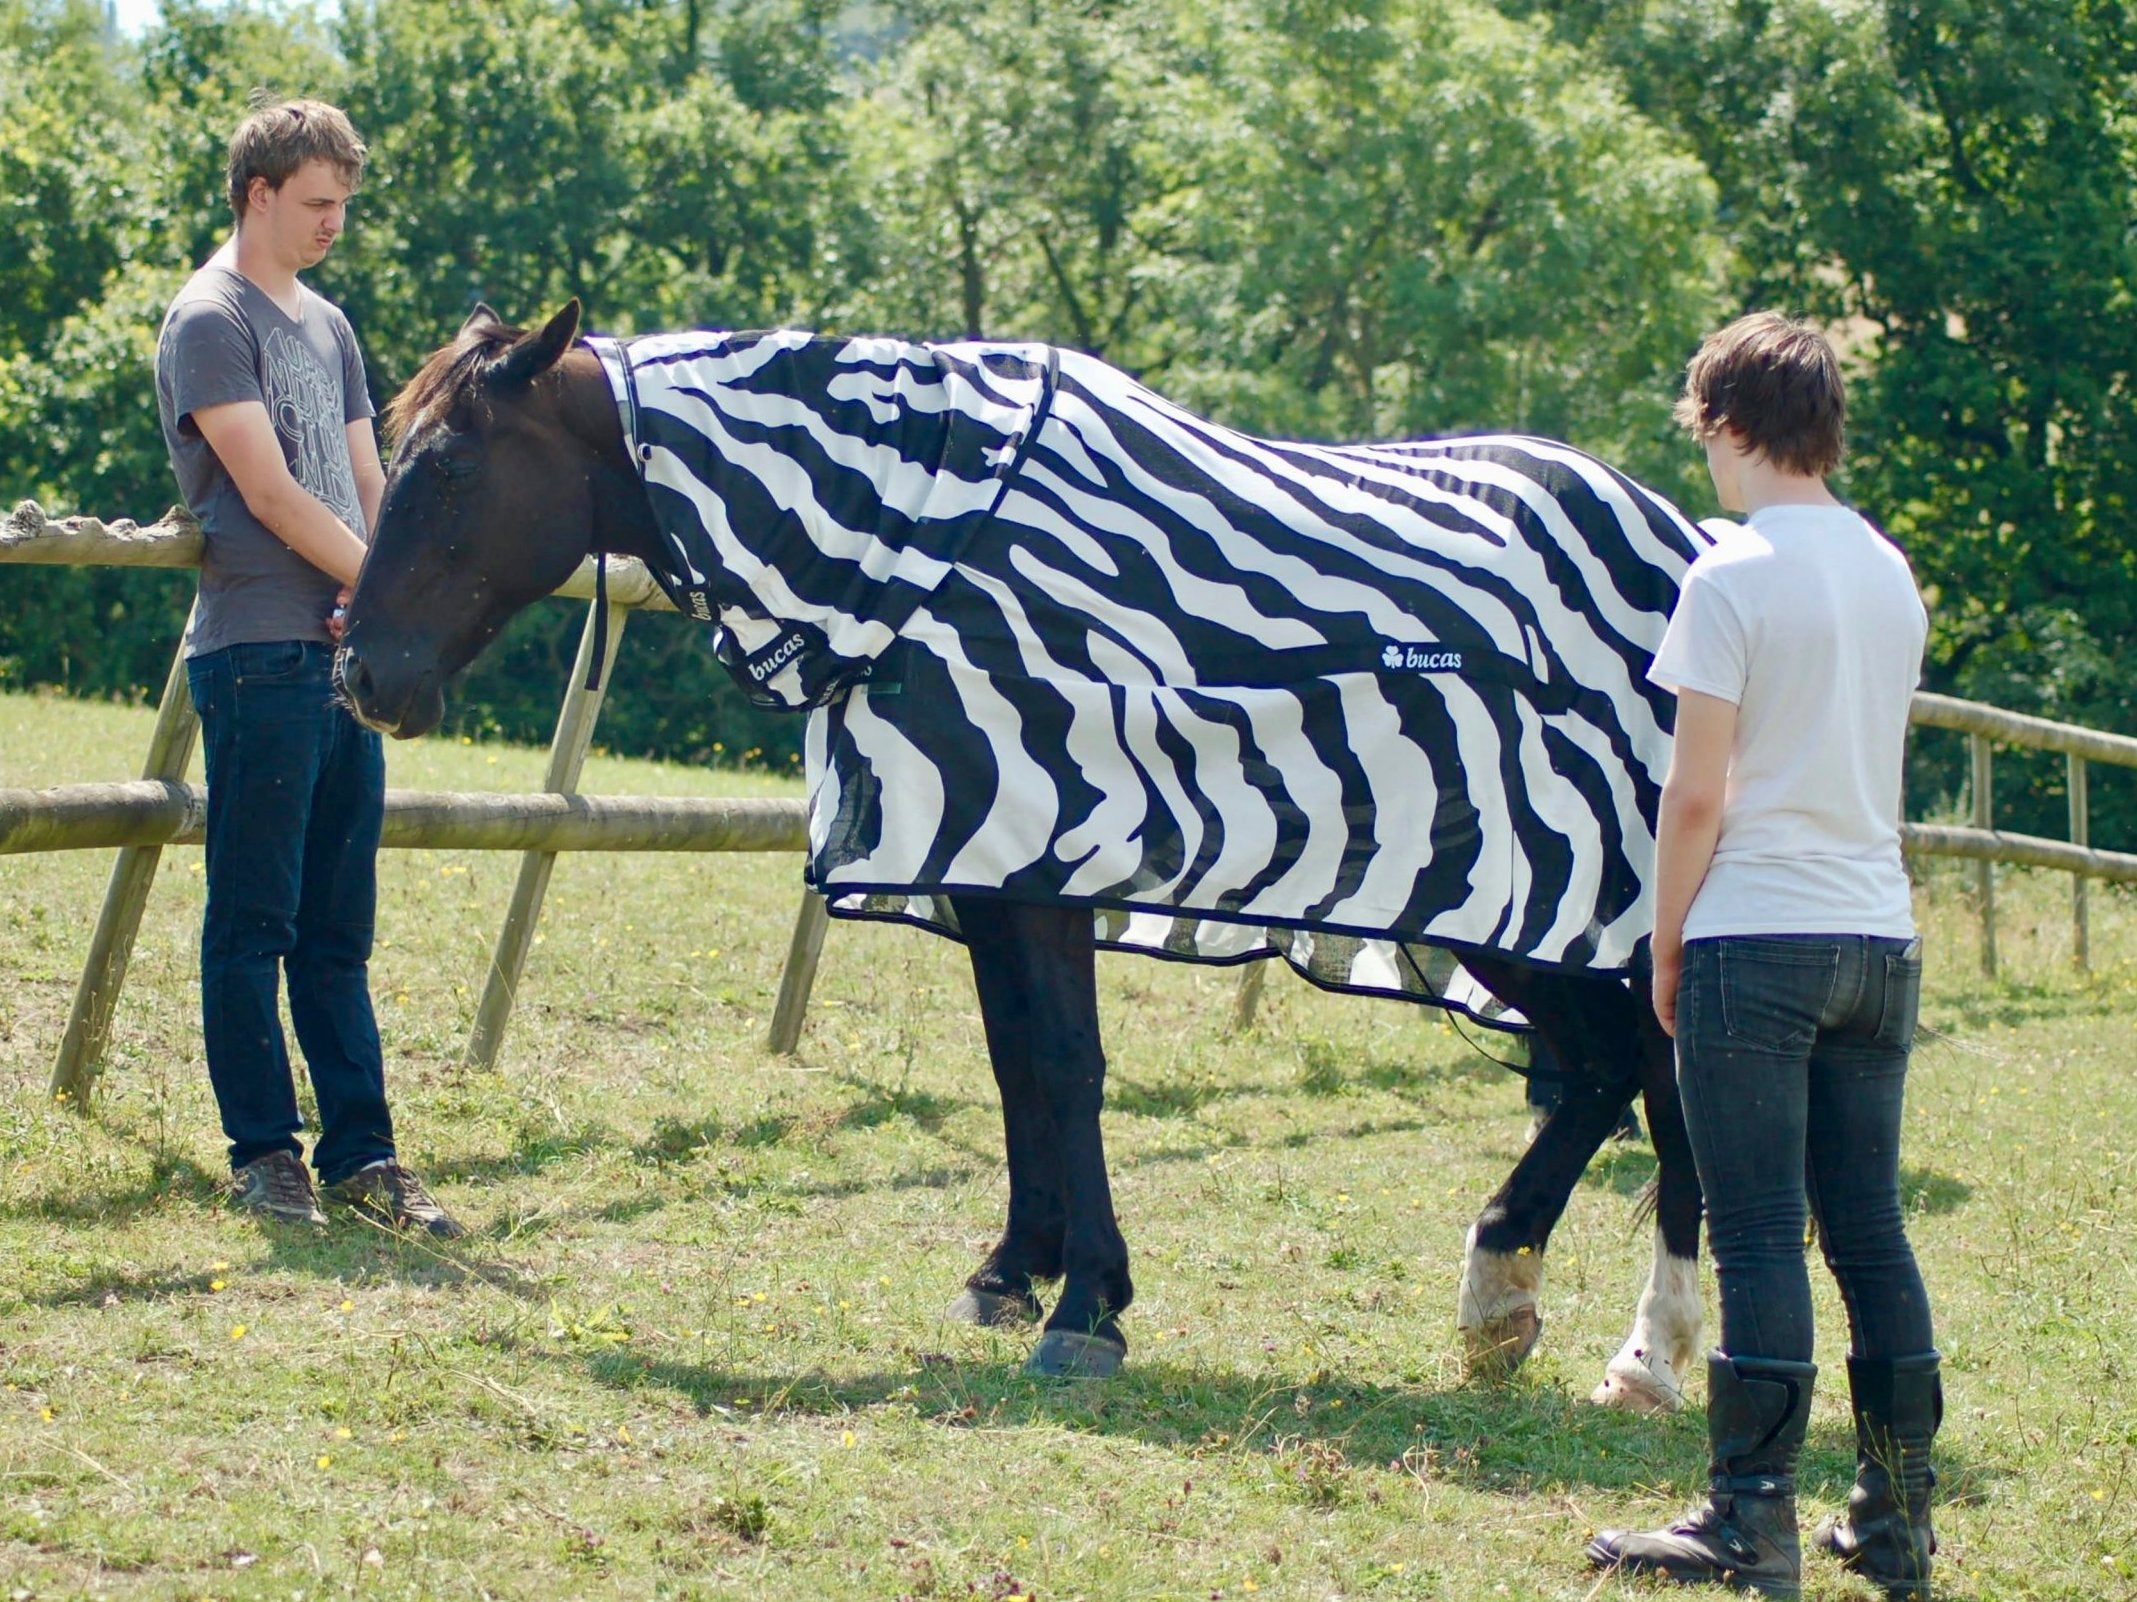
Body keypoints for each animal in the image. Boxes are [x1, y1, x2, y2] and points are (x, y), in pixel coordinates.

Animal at [341, 301, 1709, 1401]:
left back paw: (1638, 1343)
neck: (928, 555)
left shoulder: (1048, 850)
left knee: (1647, 1075)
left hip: (1562, 902)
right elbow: (1014, 1069)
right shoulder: (987, 865)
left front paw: (1088, 1305)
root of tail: (1677, 540)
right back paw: (1510, 1301)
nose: (362, 677)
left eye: (448, 465)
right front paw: (1012, 1270)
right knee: (1614, 1071)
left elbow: (1065, 1063)